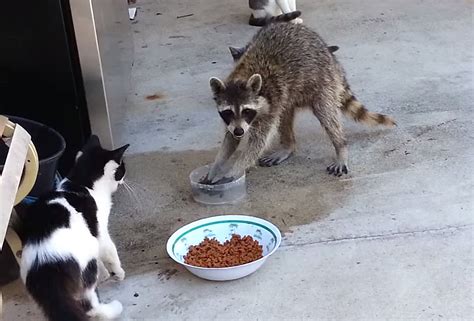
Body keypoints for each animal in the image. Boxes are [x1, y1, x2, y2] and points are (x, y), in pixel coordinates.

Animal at [17, 135, 129, 320]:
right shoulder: (100, 232)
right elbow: (110, 253)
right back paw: (112, 309)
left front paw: (104, 274)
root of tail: (45, 263)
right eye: (122, 169)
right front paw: (118, 272)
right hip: (86, 261)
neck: (82, 183)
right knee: (89, 305)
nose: (124, 179)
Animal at [206, 22, 394, 182]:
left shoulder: (272, 100)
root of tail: (330, 55)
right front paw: (217, 166)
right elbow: (230, 139)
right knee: (285, 114)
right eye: (228, 112)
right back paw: (288, 146)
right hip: (292, 94)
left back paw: (341, 147)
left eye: (246, 110)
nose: (239, 131)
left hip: (323, 81)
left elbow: (257, 143)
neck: (242, 75)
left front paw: (233, 171)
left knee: (326, 114)